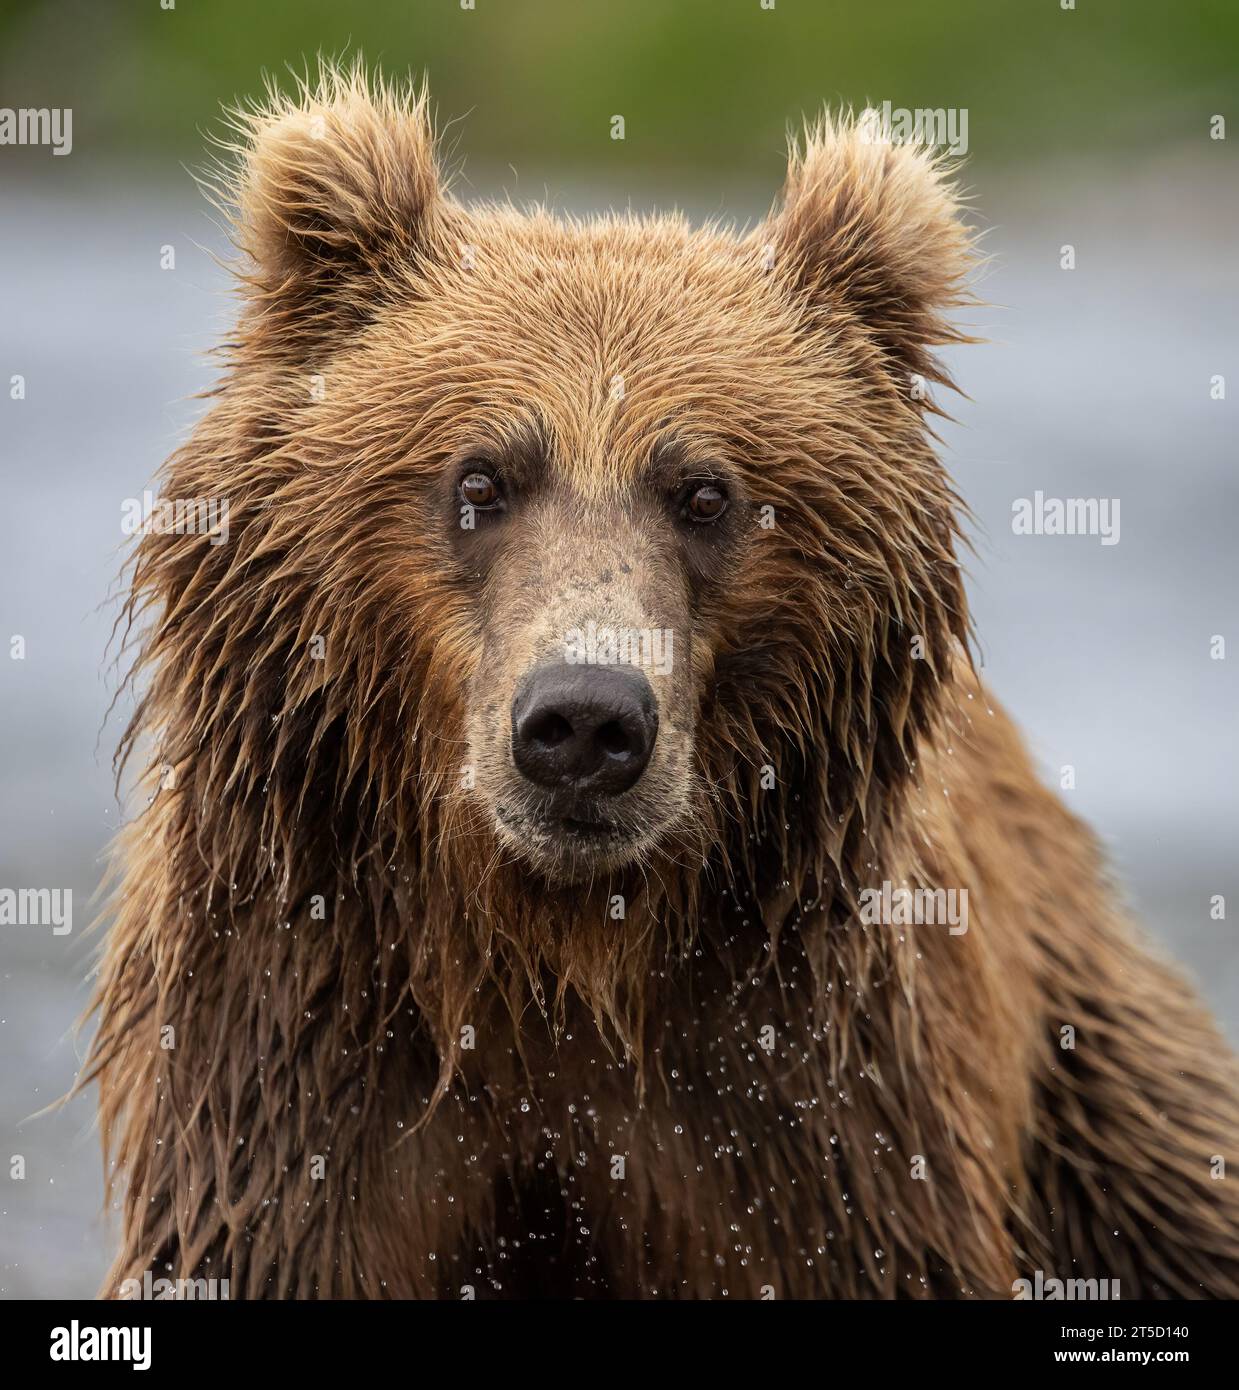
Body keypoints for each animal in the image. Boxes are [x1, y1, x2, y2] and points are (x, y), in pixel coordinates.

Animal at [86, 64, 1239, 1299]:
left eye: (704, 493)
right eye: (481, 478)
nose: (585, 722)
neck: (561, 958)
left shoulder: (812, 1113)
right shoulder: (296, 1070)